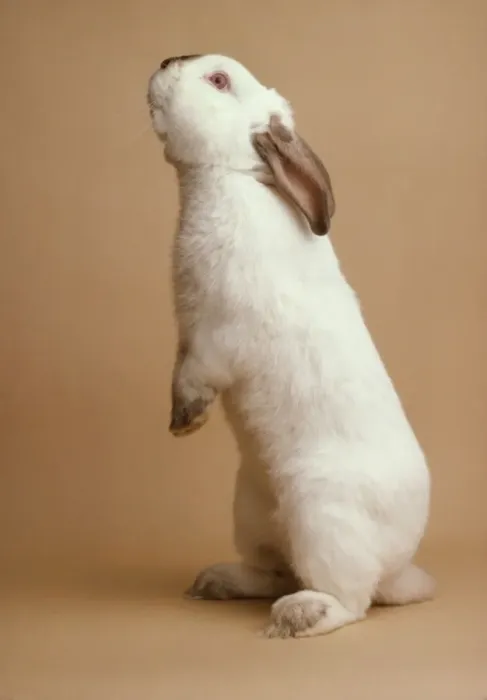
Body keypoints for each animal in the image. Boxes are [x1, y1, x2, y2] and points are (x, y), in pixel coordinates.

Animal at [147, 54, 435, 638]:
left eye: (218, 80)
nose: (165, 63)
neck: (229, 178)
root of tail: (399, 563)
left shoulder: (217, 337)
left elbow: (196, 374)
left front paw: (185, 421)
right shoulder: (189, 334)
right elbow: (178, 366)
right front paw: (180, 421)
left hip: (321, 516)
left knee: (350, 599)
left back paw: (298, 616)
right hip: (251, 509)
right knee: (276, 569)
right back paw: (216, 582)